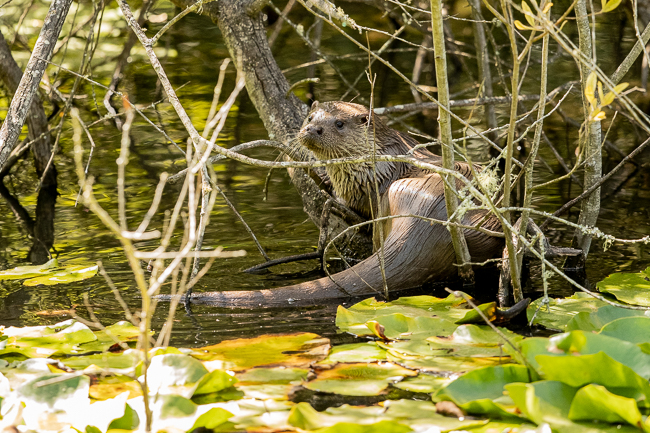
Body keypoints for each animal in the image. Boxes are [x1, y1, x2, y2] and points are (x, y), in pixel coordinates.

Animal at [176, 102, 505, 307]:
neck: (373, 165)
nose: (312, 130)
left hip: (392, 198)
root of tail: (432, 214)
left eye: (339, 123)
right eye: (310, 119)